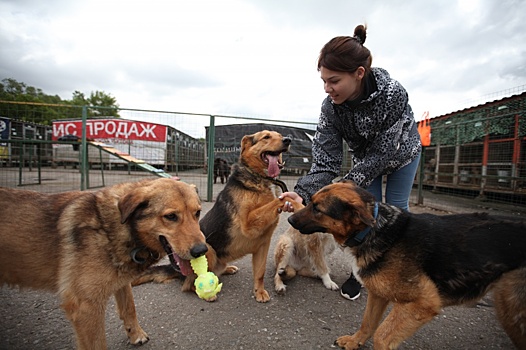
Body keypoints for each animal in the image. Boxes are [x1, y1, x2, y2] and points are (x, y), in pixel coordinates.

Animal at [0, 179, 210, 350]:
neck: (114, 226)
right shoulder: (86, 308)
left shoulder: (121, 280)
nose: (202, 250)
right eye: (171, 216)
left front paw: (135, 335)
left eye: (197, 213)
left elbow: (129, 307)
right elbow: (98, 343)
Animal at [133, 130, 296, 302]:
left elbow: (260, 272)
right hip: (208, 249)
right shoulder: (248, 223)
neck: (260, 178)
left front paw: (259, 292)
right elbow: (278, 200)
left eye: (280, 136)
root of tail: (175, 267)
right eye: (266, 137)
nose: (288, 140)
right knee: (189, 285)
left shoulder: (263, 244)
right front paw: (291, 199)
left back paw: (227, 269)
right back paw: (207, 293)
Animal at [288, 180, 526, 350]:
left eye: (317, 209)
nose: (289, 220)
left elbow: (381, 335)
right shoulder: (378, 294)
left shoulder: (423, 303)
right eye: (310, 201)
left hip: (511, 311)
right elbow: (368, 323)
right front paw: (355, 342)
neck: (376, 230)